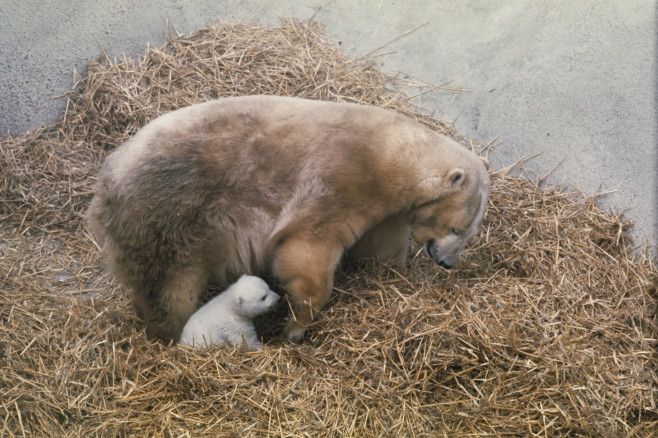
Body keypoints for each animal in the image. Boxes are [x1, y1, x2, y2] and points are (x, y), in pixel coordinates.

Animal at [87, 95, 486, 342]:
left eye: (468, 234)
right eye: (456, 228)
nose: (447, 262)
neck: (388, 155)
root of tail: (104, 184)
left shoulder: (383, 206)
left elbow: (381, 246)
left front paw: (392, 277)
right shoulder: (338, 178)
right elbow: (307, 250)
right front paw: (296, 328)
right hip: (166, 219)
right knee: (168, 289)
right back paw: (170, 331)